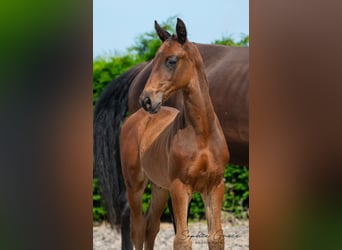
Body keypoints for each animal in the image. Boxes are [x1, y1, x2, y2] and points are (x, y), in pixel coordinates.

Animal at [93, 18, 248, 249]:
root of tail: (137, 117)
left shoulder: (214, 186)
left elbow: (216, 236)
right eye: (155, 59)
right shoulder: (180, 187)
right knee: (137, 228)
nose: (147, 99)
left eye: (171, 60)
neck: (201, 133)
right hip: (135, 185)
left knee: (151, 227)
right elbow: (182, 239)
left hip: (159, 187)